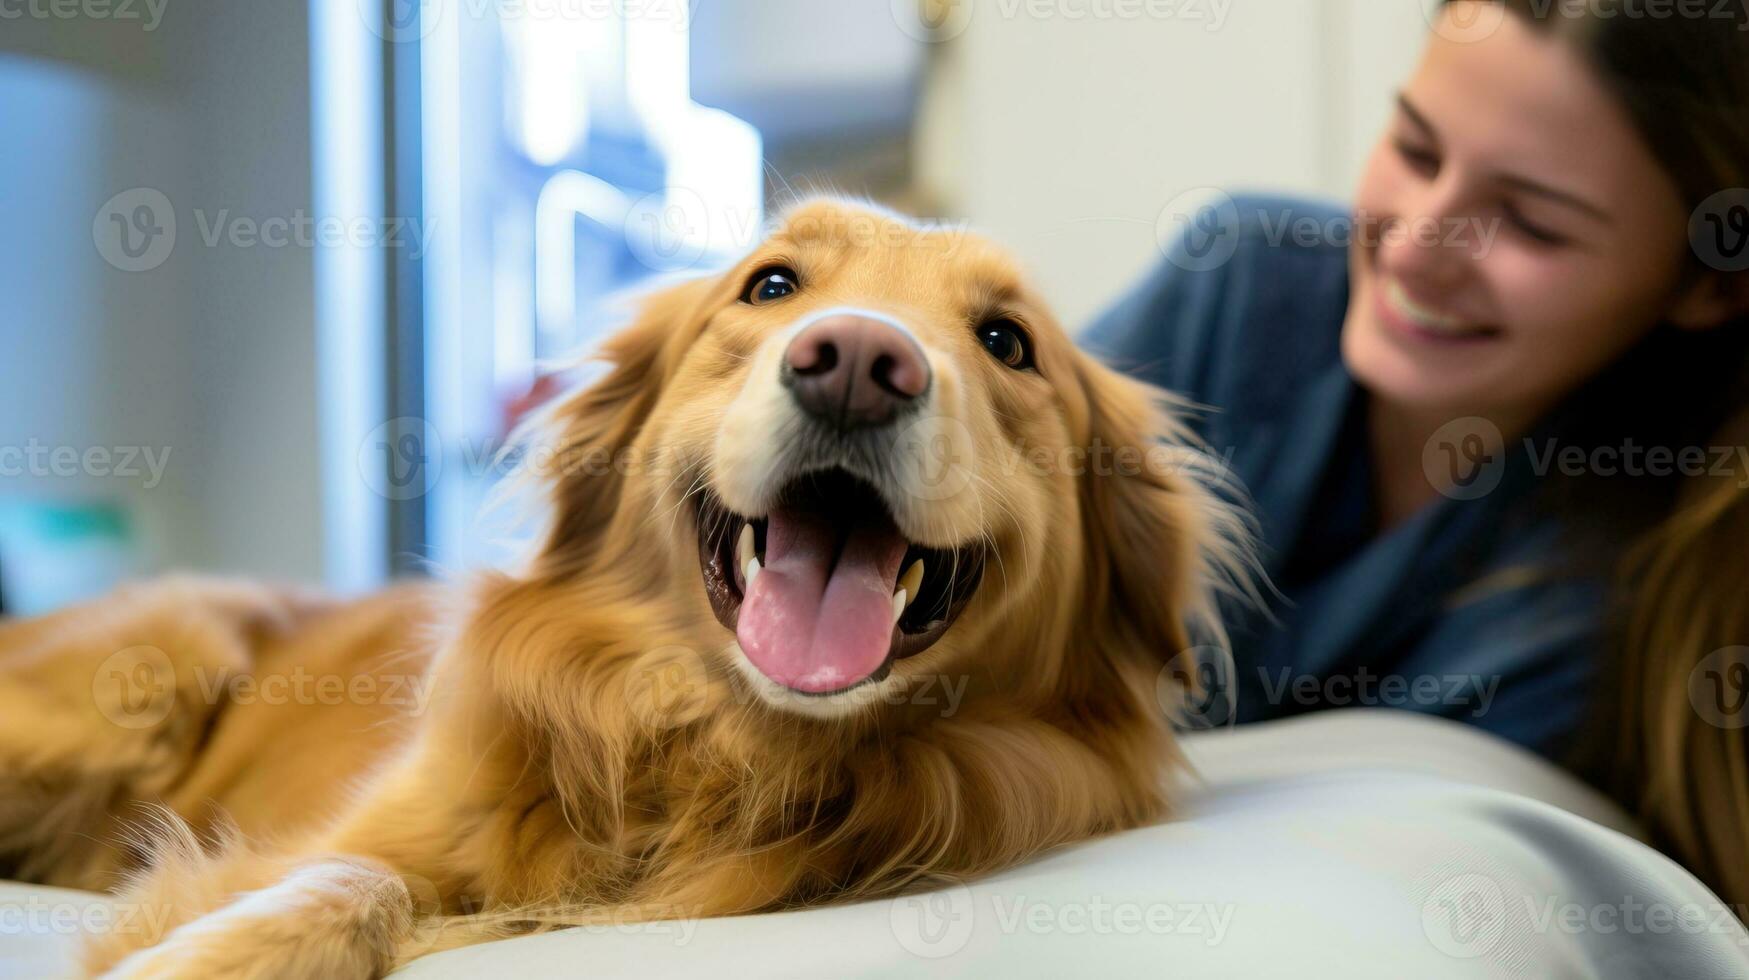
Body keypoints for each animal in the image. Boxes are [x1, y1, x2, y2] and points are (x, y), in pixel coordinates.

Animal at [3, 201, 1259, 980]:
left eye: (1007, 341)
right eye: (771, 283)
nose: (857, 361)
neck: (716, 749)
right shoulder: (351, 834)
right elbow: (353, 875)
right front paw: (215, 952)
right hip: (150, 674)